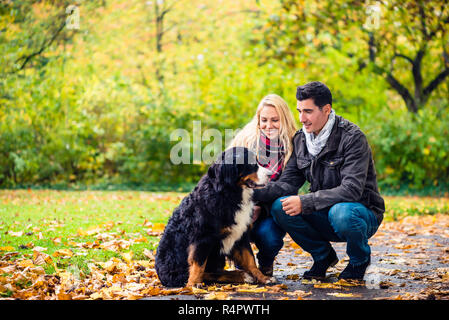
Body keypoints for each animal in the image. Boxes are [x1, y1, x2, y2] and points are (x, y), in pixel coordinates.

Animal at [154, 146, 272, 286]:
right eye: (252, 163)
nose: (270, 174)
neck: (228, 194)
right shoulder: (203, 237)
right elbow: (198, 264)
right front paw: (193, 284)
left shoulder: (241, 235)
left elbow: (250, 259)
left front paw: (263, 278)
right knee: (206, 274)